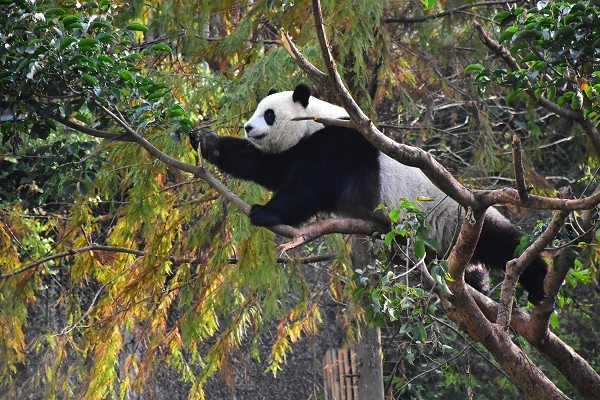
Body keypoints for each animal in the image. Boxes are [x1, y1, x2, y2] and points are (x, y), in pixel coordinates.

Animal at [191, 84, 548, 304]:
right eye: (257, 111)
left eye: (269, 114)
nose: (248, 128)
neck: (315, 121)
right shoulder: (297, 149)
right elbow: (266, 166)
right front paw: (205, 140)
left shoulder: (337, 144)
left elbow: (308, 187)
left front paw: (264, 212)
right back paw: (477, 282)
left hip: (457, 218)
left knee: (503, 242)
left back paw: (537, 281)